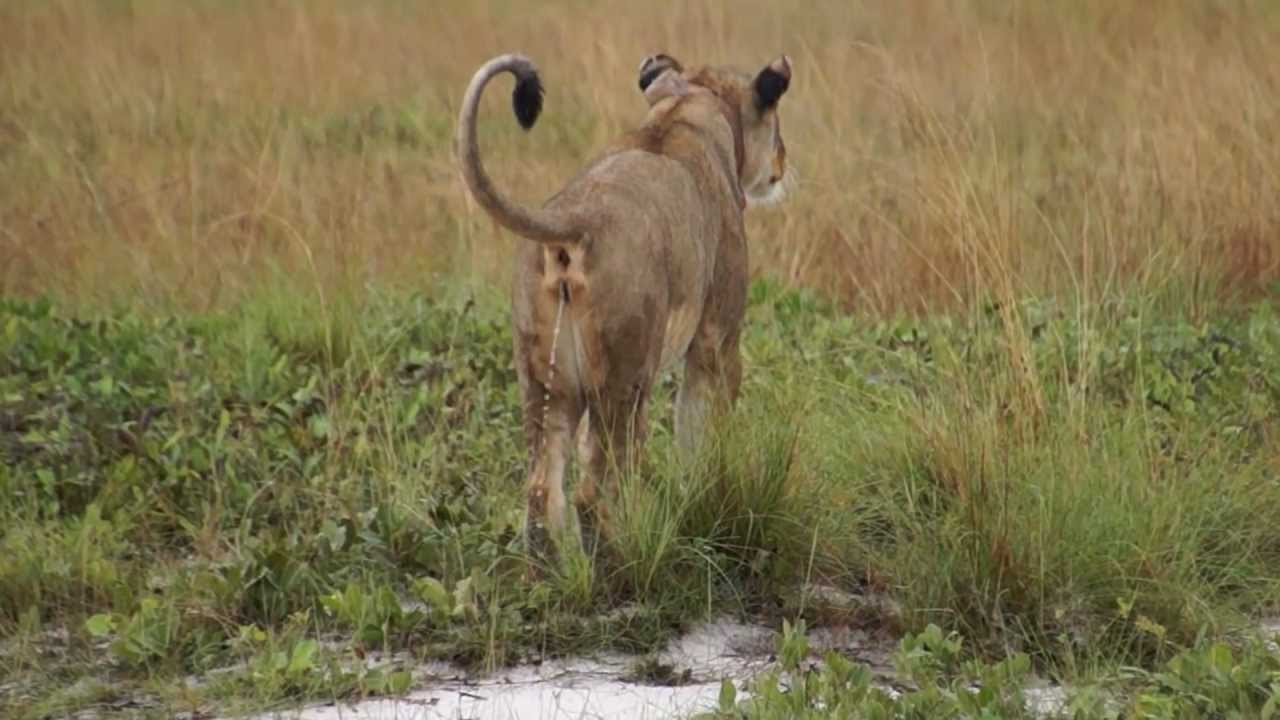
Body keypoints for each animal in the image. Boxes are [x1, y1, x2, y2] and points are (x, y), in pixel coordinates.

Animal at [454, 51, 793, 559]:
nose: (783, 162)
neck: (684, 111)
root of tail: (575, 218)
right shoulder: (717, 338)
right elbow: (703, 431)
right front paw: (709, 497)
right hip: (627, 376)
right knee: (595, 491)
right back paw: (626, 559)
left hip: (542, 378)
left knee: (542, 489)